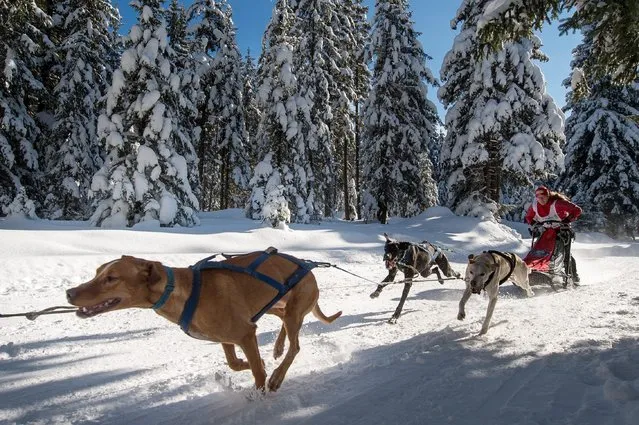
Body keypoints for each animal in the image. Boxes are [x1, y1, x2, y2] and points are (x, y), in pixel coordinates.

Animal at [67, 250, 342, 392]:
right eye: (97, 272)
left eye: (111, 278)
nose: (69, 293)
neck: (186, 293)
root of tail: (308, 267)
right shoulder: (228, 337)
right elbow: (234, 363)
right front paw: (254, 362)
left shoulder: (245, 333)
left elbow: (257, 373)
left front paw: (261, 389)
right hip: (277, 306)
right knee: (285, 328)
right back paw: (277, 348)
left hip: (294, 309)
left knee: (295, 347)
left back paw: (277, 377)